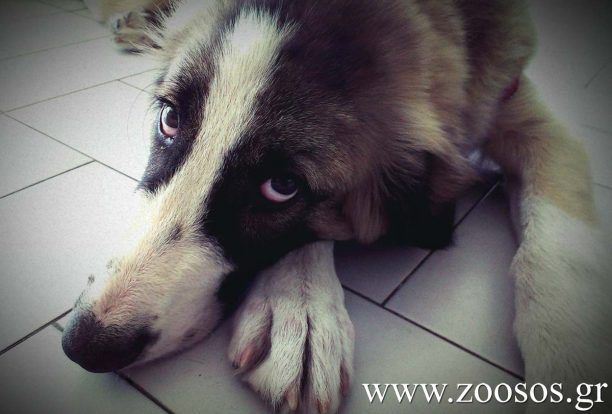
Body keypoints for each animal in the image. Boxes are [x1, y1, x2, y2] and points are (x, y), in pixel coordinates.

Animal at [63, 0, 612, 412]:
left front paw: (570, 356)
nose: (84, 346)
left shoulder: (526, 113)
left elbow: (554, 249)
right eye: (170, 120)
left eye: (282, 186)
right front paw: (300, 313)